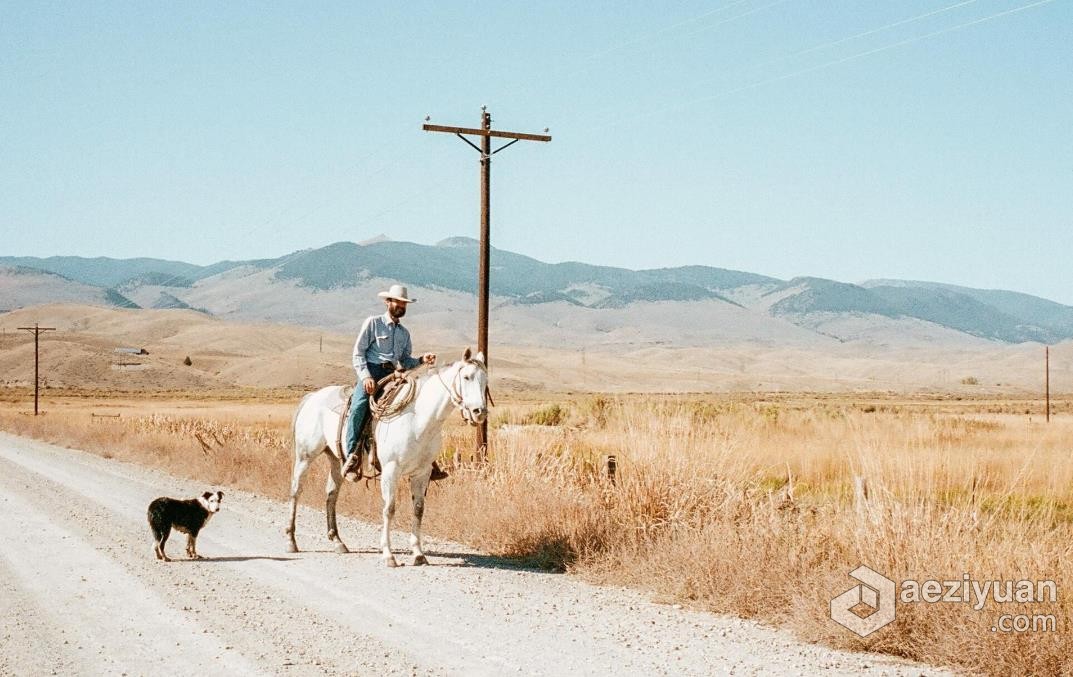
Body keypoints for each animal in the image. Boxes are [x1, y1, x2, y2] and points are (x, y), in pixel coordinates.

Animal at [283, 349, 489, 566]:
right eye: (466, 377)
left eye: (485, 380)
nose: (479, 412)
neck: (418, 419)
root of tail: (313, 397)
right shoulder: (391, 470)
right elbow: (389, 509)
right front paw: (389, 555)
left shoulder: (422, 472)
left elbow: (418, 509)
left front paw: (418, 553)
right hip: (305, 455)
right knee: (296, 491)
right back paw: (291, 540)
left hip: (335, 460)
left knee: (331, 494)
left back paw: (338, 541)